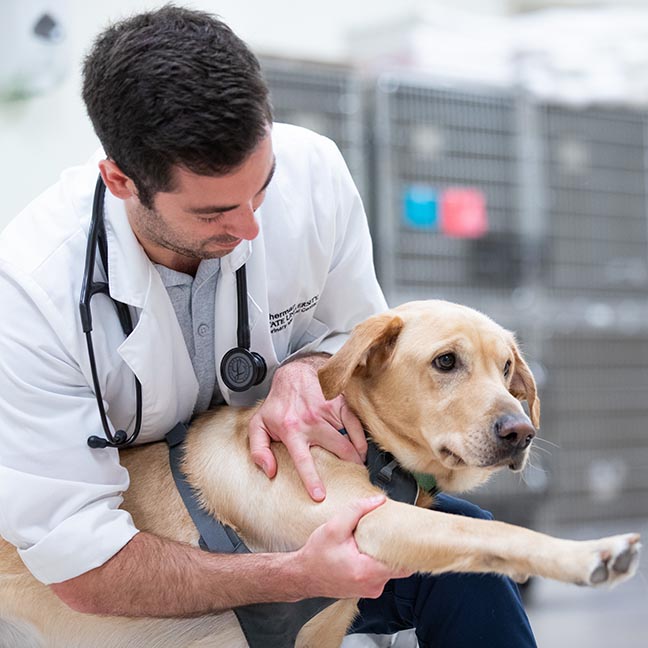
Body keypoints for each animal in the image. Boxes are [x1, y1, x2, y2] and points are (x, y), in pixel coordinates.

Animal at [0, 302, 636, 648]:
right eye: (445, 362)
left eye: (506, 368)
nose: (519, 432)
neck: (371, 449)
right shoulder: (370, 525)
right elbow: (492, 532)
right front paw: (589, 553)